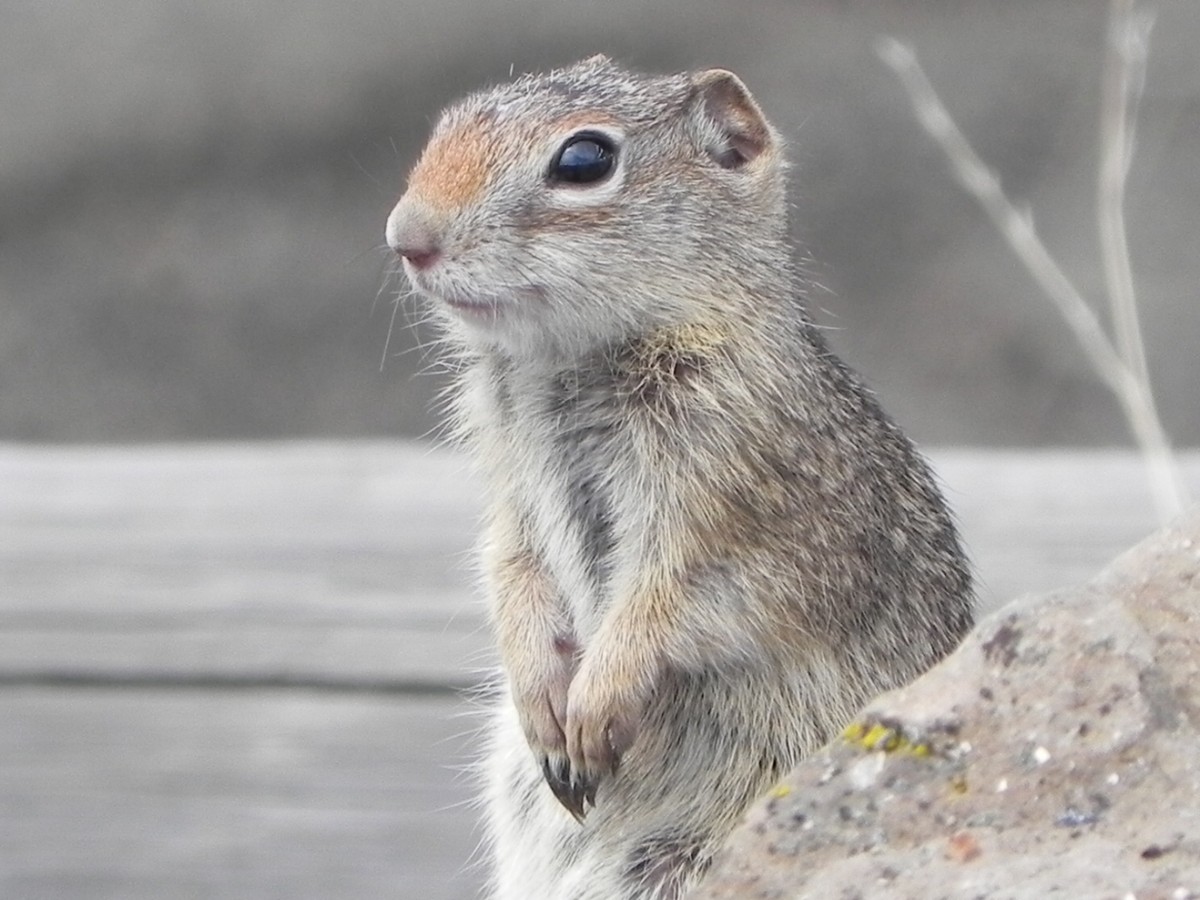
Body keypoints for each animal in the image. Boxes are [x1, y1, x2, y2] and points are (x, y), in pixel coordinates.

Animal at [384, 55, 974, 900]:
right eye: (449, 123)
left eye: (584, 160)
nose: (407, 239)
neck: (573, 360)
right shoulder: (510, 505)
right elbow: (511, 574)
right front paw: (541, 699)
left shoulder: (736, 527)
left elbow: (663, 610)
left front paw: (593, 706)